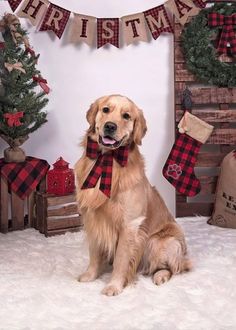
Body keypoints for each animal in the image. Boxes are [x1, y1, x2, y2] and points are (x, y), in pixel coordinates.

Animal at [74, 94, 191, 296]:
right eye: (105, 109)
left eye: (126, 116)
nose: (110, 126)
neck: (109, 160)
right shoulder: (93, 218)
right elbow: (94, 253)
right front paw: (90, 275)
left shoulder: (129, 224)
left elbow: (121, 259)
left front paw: (114, 286)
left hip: (160, 242)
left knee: (173, 268)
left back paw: (160, 276)